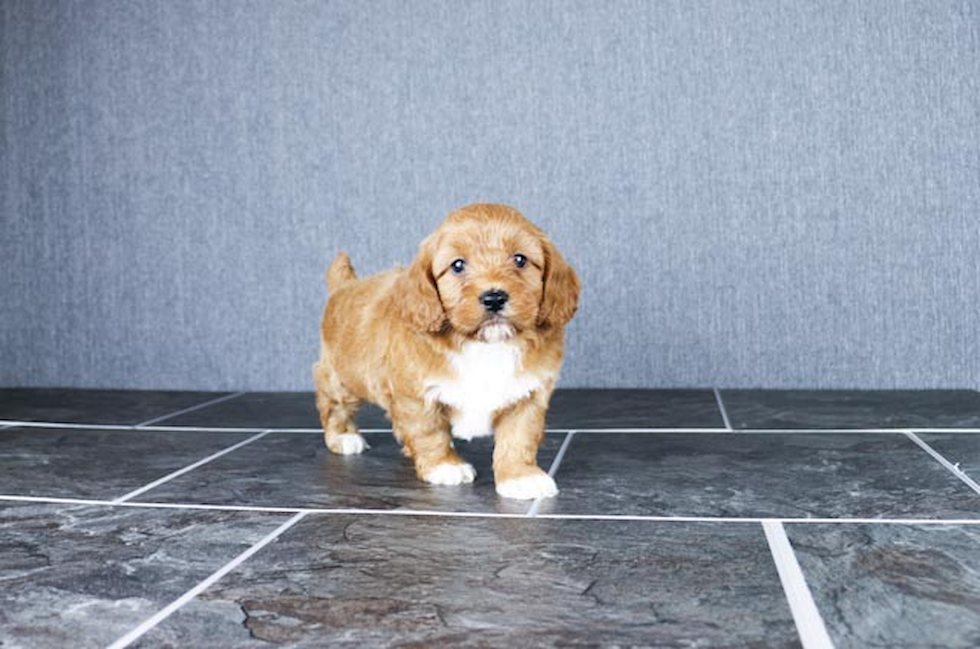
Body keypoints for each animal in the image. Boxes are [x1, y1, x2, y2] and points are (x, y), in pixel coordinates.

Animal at [310, 205, 580, 498]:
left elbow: (519, 438)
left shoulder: (527, 395)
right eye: (458, 265)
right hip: (341, 378)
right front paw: (444, 466)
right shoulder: (415, 395)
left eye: (520, 259)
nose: (494, 298)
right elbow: (430, 433)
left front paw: (520, 476)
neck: (485, 344)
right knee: (332, 404)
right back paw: (343, 436)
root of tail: (344, 287)